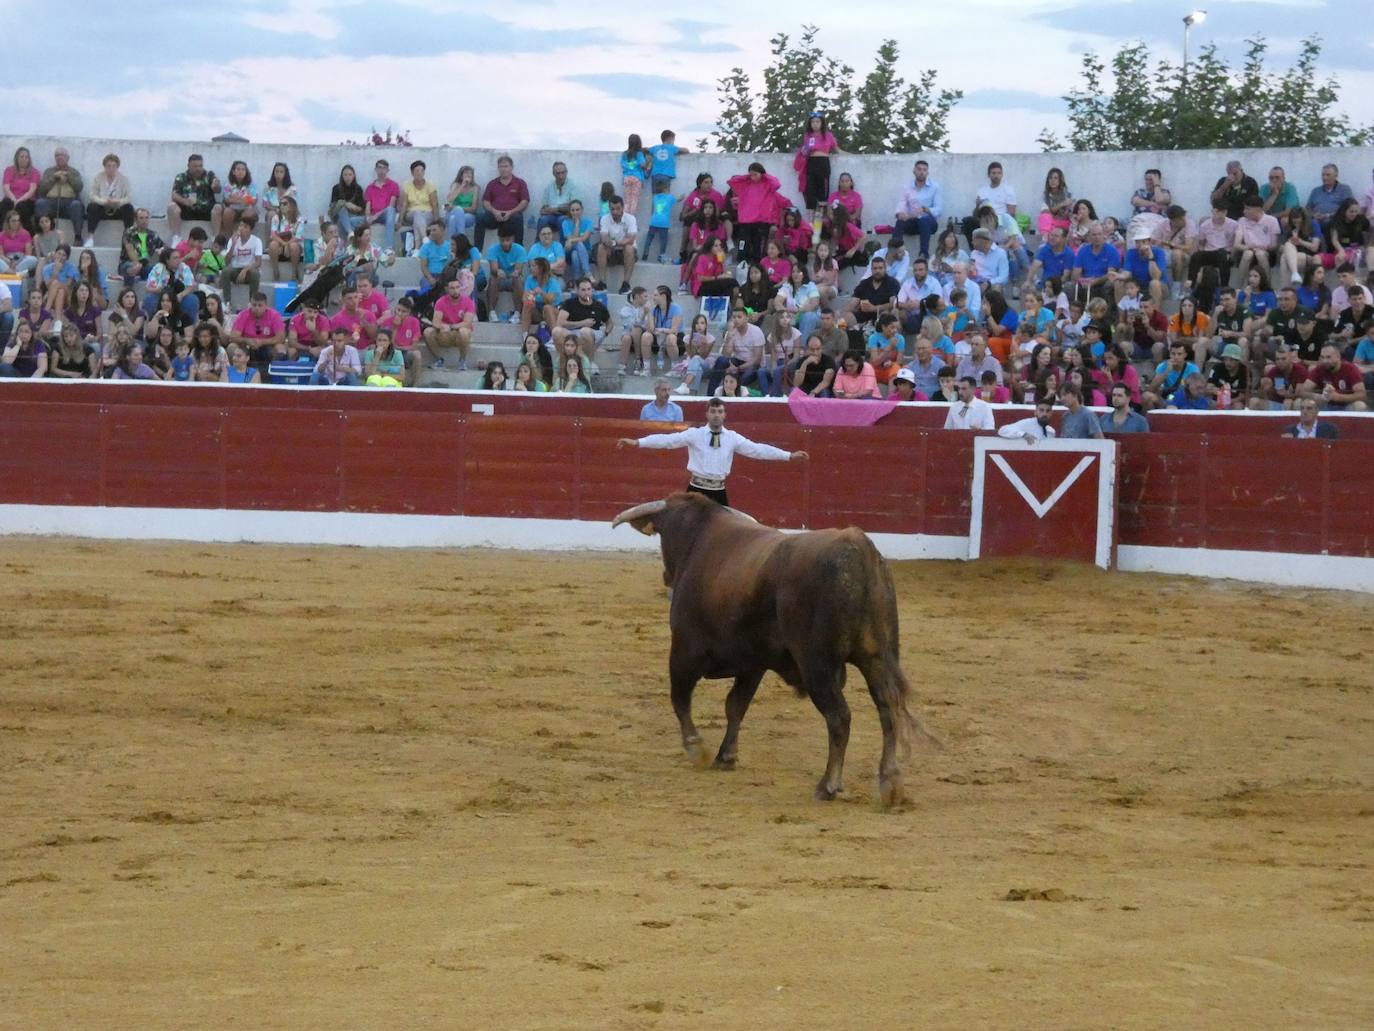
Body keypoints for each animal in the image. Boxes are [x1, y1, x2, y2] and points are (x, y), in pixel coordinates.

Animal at [615, 492, 928, 808]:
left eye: (665, 534)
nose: (666, 577)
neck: (696, 539)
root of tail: (858, 548)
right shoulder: (753, 664)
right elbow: (735, 705)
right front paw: (726, 756)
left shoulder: (684, 651)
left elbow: (680, 699)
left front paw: (697, 749)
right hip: (876, 657)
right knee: (888, 708)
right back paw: (890, 782)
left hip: (818, 665)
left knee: (839, 717)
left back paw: (827, 785)